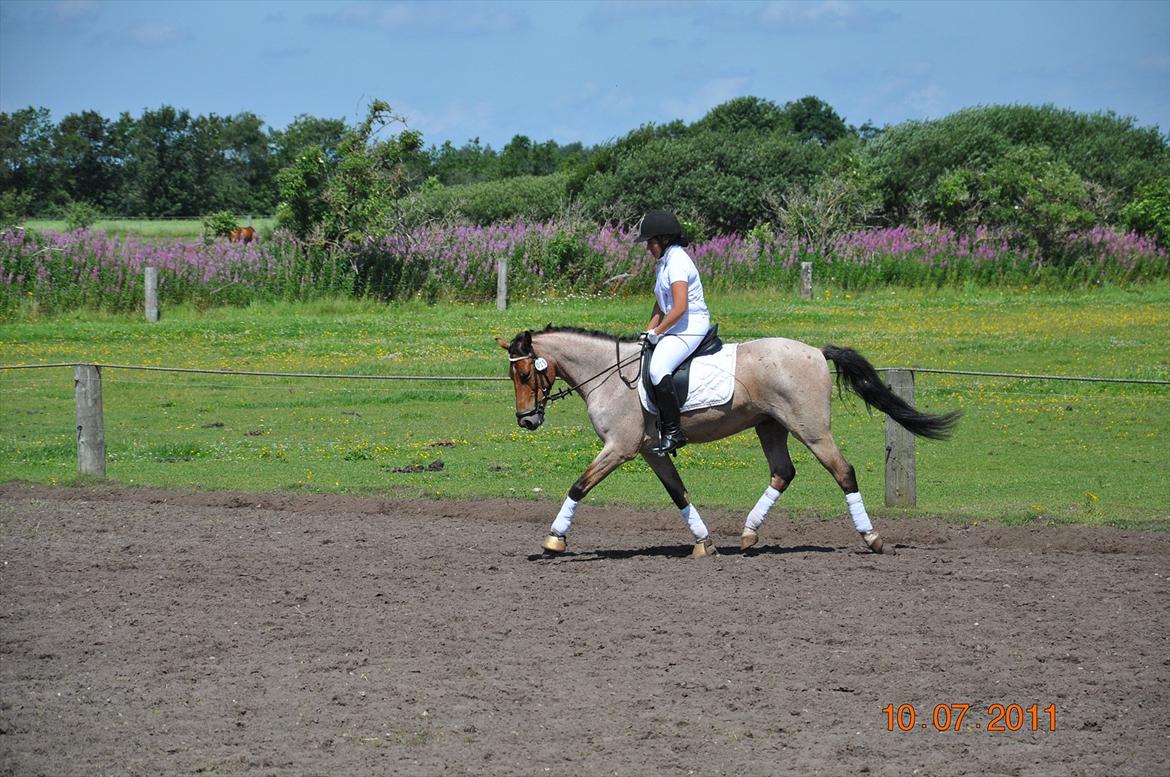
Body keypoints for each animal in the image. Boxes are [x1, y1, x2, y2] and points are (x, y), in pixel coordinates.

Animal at [493, 325, 959, 559]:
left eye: (524, 373)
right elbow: (678, 493)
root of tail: (815, 351)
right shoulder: (648, 451)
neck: (610, 374)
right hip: (770, 425)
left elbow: (578, 486)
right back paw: (749, 534)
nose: (526, 421)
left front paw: (554, 539)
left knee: (843, 472)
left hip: (811, 429)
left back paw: (872, 539)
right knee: (782, 472)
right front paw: (704, 542)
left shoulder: (619, 448)